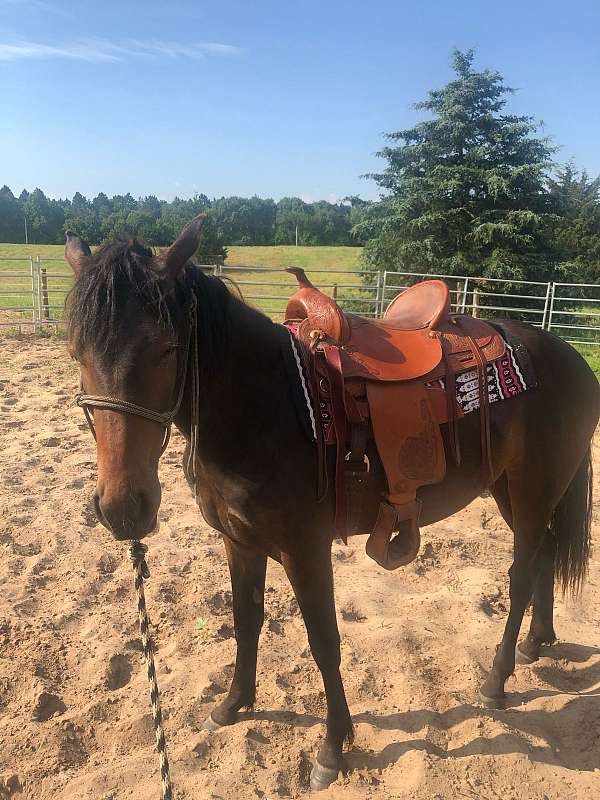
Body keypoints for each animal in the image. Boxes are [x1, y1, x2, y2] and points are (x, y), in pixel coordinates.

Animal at [64, 216, 599, 790]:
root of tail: (571, 359)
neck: (266, 406)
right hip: (512, 491)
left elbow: (324, 642)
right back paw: (537, 642)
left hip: (533, 488)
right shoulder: (239, 543)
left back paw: (497, 679)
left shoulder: (305, 550)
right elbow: (245, 621)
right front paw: (234, 703)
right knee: (544, 555)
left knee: (521, 574)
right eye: (76, 352)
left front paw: (332, 747)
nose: (124, 508)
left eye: (166, 348)